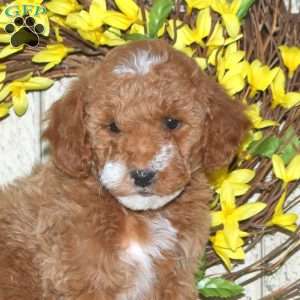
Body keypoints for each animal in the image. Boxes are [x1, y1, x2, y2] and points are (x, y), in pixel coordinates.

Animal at [0, 39, 248, 300]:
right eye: (112, 126)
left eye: (171, 122)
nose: (142, 175)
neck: (141, 217)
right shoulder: (82, 278)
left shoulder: (175, 276)